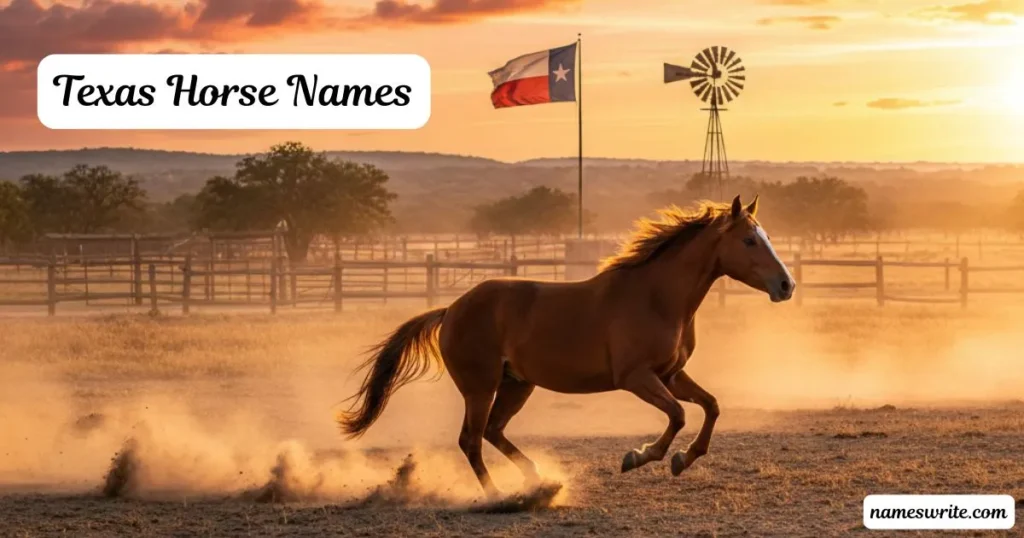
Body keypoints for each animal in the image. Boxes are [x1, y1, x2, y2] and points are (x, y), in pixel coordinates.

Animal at [336, 195, 795, 497]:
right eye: (750, 241)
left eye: (768, 236)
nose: (786, 285)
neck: (657, 296)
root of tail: (450, 309)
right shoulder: (636, 377)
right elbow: (679, 415)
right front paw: (640, 456)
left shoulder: (670, 375)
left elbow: (711, 406)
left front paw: (684, 459)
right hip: (480, 387)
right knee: (471, 439)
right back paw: (498, 497)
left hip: (517, 384)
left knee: (493, 431)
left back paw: (538, 479)